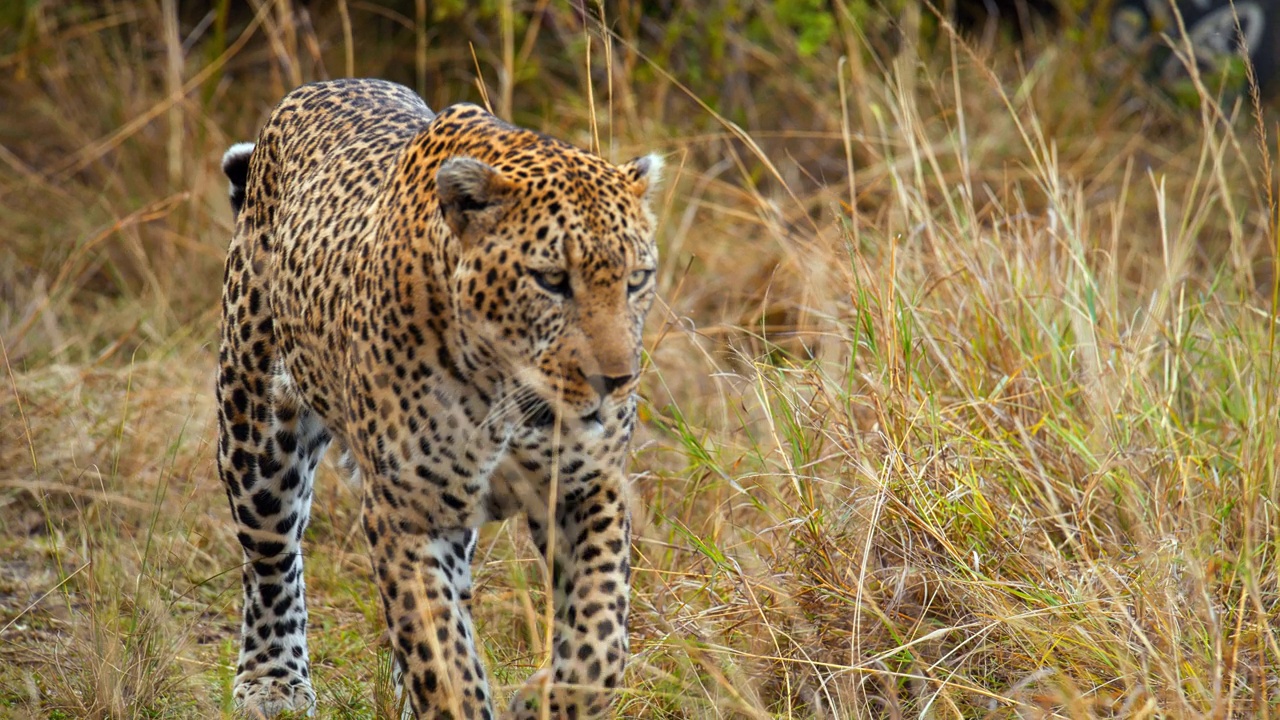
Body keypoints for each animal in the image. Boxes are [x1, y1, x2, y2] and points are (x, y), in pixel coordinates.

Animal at [213, 78, 660, 717]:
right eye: (551, 280)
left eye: (636, 279)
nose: (615, 381)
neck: (508, 395)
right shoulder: (407, 514)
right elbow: (441, 654)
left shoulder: (586, 487)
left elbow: (600, 640)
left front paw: (545, 699)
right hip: (256, 433)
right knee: (270, 557)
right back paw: (272, 681)